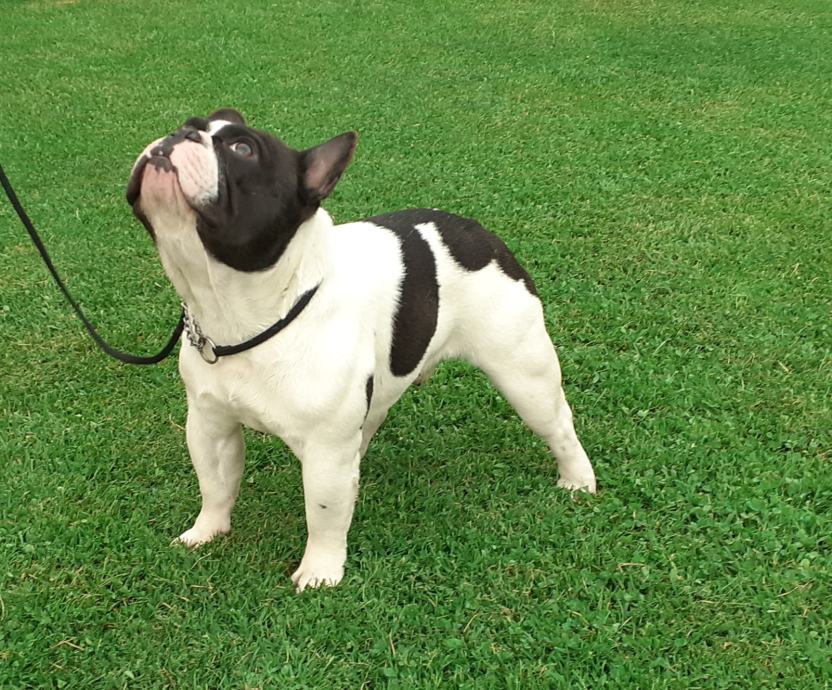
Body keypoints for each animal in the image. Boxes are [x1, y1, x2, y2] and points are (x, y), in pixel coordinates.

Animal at [126, 108, 596, 591]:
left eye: (243, 149)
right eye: (189, 123)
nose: (182, 134)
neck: (249, 311)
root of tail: (479, 233)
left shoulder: (324, 451)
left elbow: (323, 513)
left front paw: (320, 571)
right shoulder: (209, 424)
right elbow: (215, 483)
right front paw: (207, 531)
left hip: (524, 373)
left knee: (558, 425)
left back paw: (578, 479)